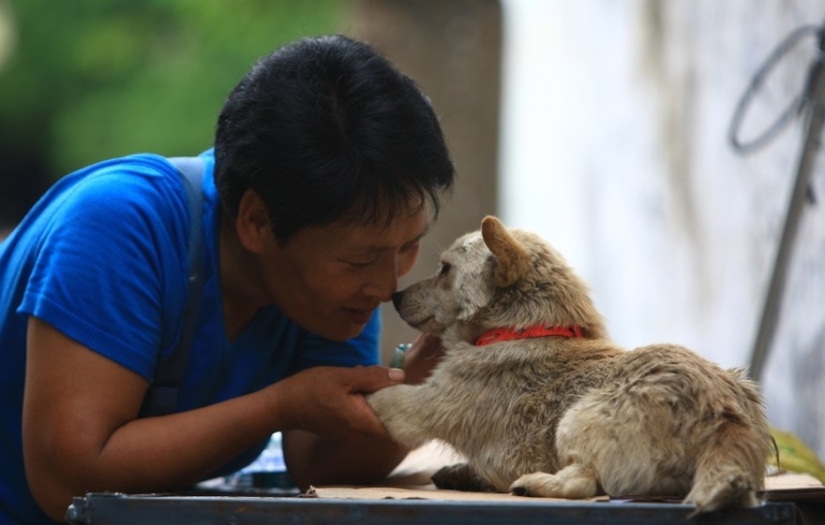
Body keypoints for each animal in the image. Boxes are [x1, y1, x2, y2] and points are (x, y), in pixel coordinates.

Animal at [368, 215, 772, 512]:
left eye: (445, 269)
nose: (396, 296)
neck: (525, 329)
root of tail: (724, 417)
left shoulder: (416, 405)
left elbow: (383, 396)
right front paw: (461, 473)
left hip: (575, 420)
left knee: (585, 483)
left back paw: (534, 484)